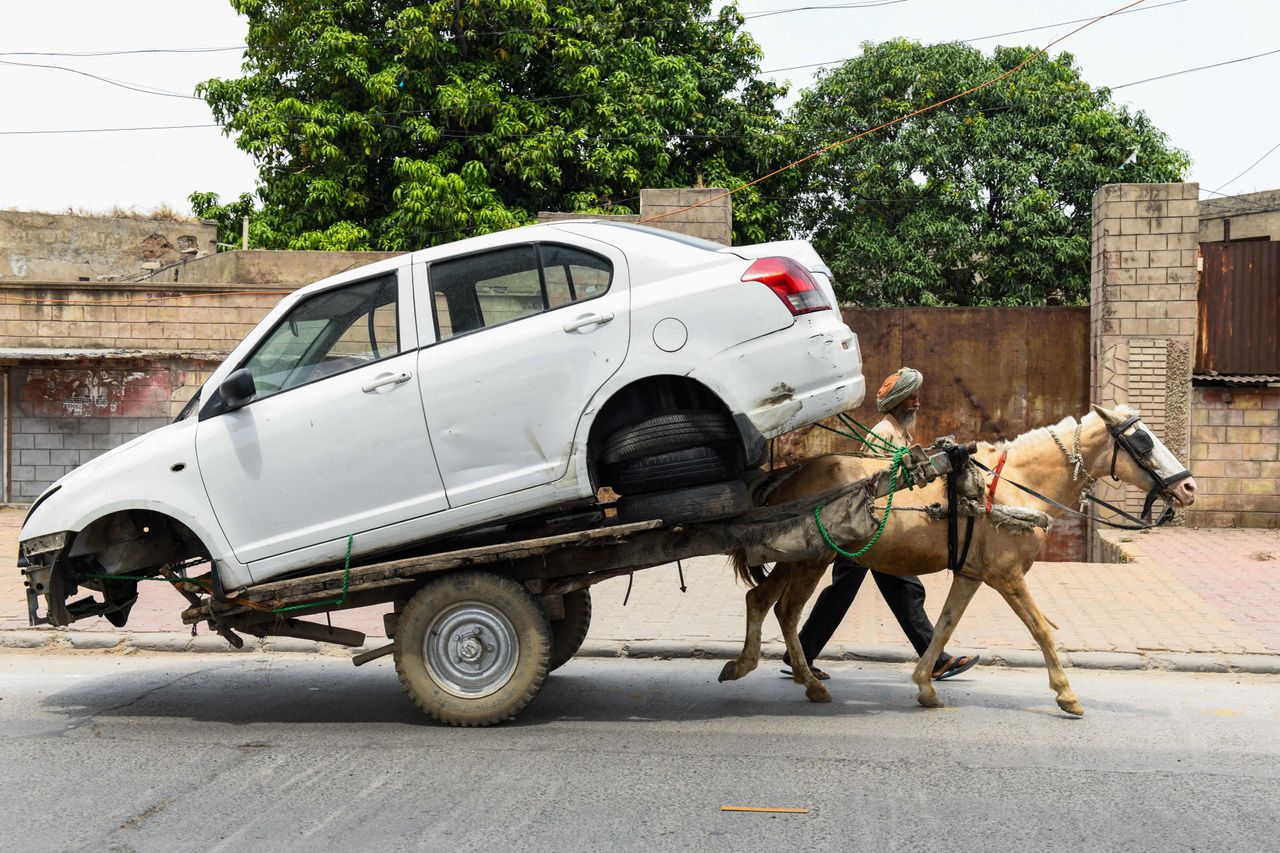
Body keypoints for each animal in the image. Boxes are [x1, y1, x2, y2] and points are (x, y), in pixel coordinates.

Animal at [721, 402, 1198, 712]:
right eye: (1141, 441)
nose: (1189, 487)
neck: (1011, 486)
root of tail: (788, 475)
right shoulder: (1007, 576)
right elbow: (1041, 629)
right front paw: (1067, 694)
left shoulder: (971, 573)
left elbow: (944, 626)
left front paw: (926, 685)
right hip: (809, 559)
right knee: (786, 610)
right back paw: (805, 681)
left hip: (794, 557)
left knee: (760, 601)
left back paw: (753, 666)